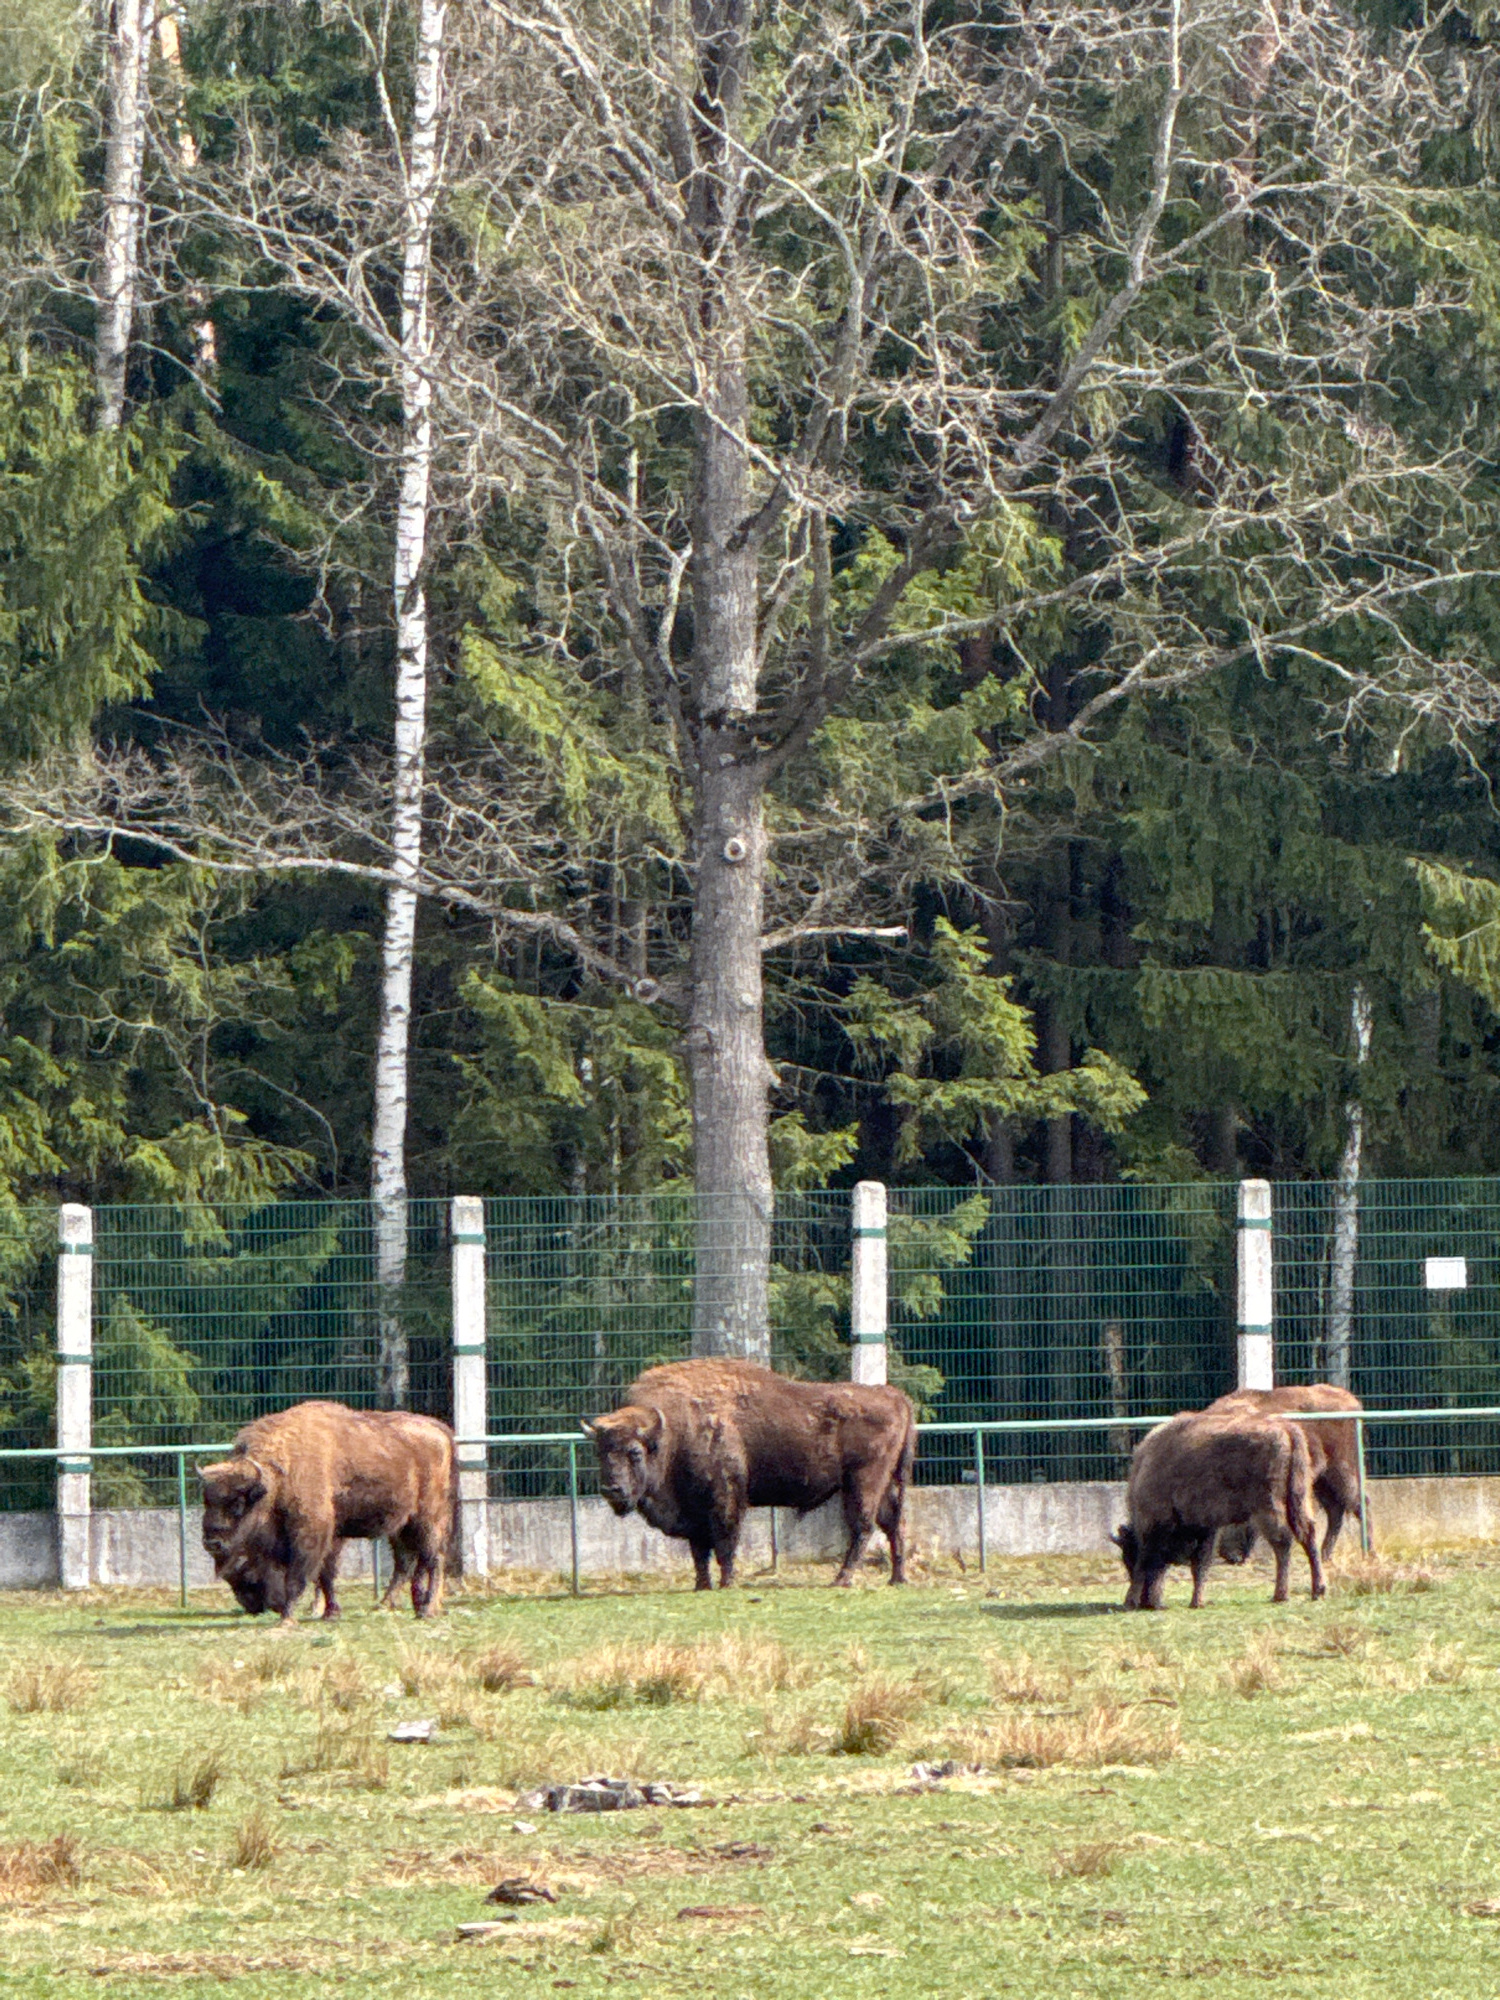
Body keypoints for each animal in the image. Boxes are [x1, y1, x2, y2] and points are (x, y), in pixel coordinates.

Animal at [199, 1402, 456, 1623]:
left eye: (237, 1504)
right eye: (206, 1502)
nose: (212, 1542)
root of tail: (438, 1429)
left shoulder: (310, 1535)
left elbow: (299, 1576)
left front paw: (288, 1619)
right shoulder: (332, 1536)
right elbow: (326, 1574)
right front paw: (330, 1613)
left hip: (429, 1518)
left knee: (433, 1558)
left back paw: (428, 1609)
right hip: (402, 1525)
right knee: (409, 1561)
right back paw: (393, 1605)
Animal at [583, 1359, 915, 1590]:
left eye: (634, 1453)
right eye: (599, 1451)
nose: (611, 1490)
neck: (672, 1433)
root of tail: (894, 1395)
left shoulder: (725, 1498)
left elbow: (724, 1543)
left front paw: (727, 1582)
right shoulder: (694, 1511)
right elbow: (699, 1550)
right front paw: (701, 1585)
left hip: (862, 1482)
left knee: (863, 1526)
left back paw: (841, 1579)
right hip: (888, 1483)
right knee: (894, 1525)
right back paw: (896, 1579)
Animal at [1113, 1408, 1325, 1609]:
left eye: (1128, 1557)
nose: (1147, 1603)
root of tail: (1286, 1428)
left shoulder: (1155, 1522)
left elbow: (1147, 1561)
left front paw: (1129, 1601)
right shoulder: (1205, 1528)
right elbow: (1200, 1564)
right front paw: (1197, 1601)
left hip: (1267, 1507)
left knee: (1283, 1541)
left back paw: (1280, 1595)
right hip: (1298, 1497)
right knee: (1308, 1535)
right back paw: (1318, 1591)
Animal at [1209, 1384, 1365, 1560]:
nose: (1230, 1555)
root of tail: (1351, 1400)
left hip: (1342, 1470)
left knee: (1359, 1503)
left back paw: (1369, 1554)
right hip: (1322, 1481)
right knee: (1335, 1511)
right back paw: (1325, 1555)